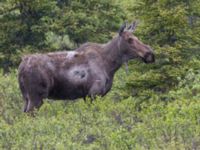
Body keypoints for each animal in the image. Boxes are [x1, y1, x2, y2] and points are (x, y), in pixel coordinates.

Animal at [18, 21, 155, 112]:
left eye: (137, 37)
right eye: (130, 39)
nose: (150, 53)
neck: (110, 65)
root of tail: (21, 68)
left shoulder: (89, 95)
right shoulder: (93, 93)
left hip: (26, 97)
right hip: (36, 96)